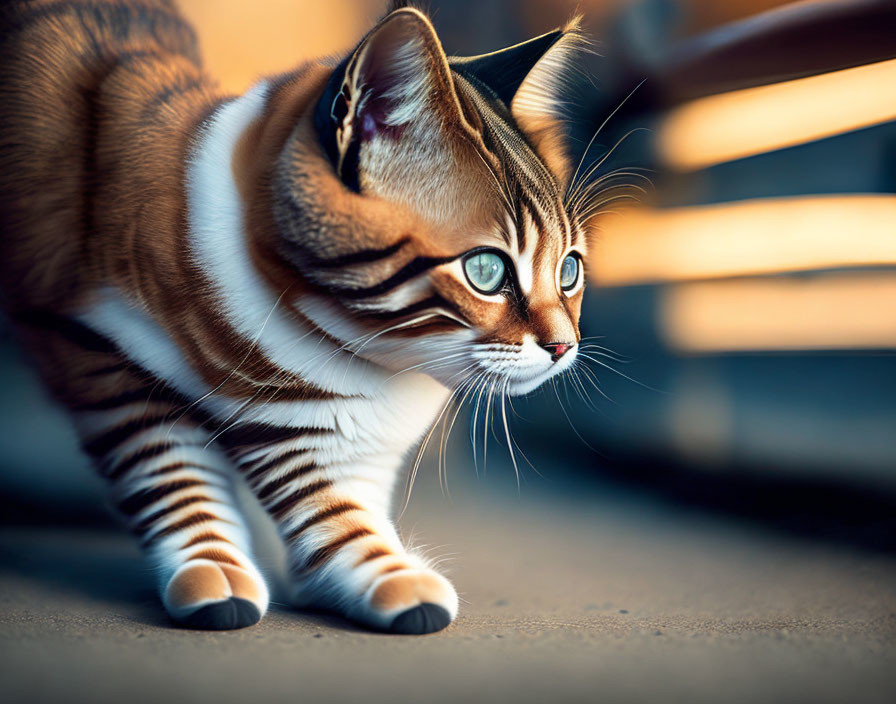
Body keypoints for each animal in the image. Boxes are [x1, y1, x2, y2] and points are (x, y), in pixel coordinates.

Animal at [1, 0, 588, 636]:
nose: (564, 346)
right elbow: (175, 473)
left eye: (569, 270)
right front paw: (215, 567)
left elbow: (333, 503)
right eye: (485, 269)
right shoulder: (98, 350)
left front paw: (361, 570)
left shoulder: (321, 435)